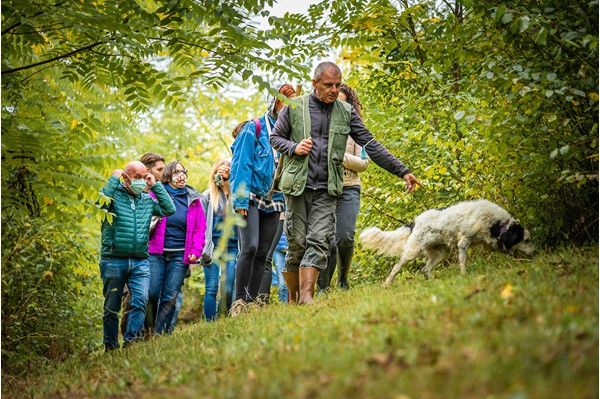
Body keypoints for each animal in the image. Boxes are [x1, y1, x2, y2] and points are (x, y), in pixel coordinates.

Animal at [358, 200, 536, 288]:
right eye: (526, 240)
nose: (534, 253)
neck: (495, 223)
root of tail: (414, 222)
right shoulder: (464, 241)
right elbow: (463, 262)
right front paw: (464, 276)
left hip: (442, 253)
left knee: (425, 270)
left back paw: (435, 282)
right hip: (412, 252)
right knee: (396, 267)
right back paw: (387, 284)